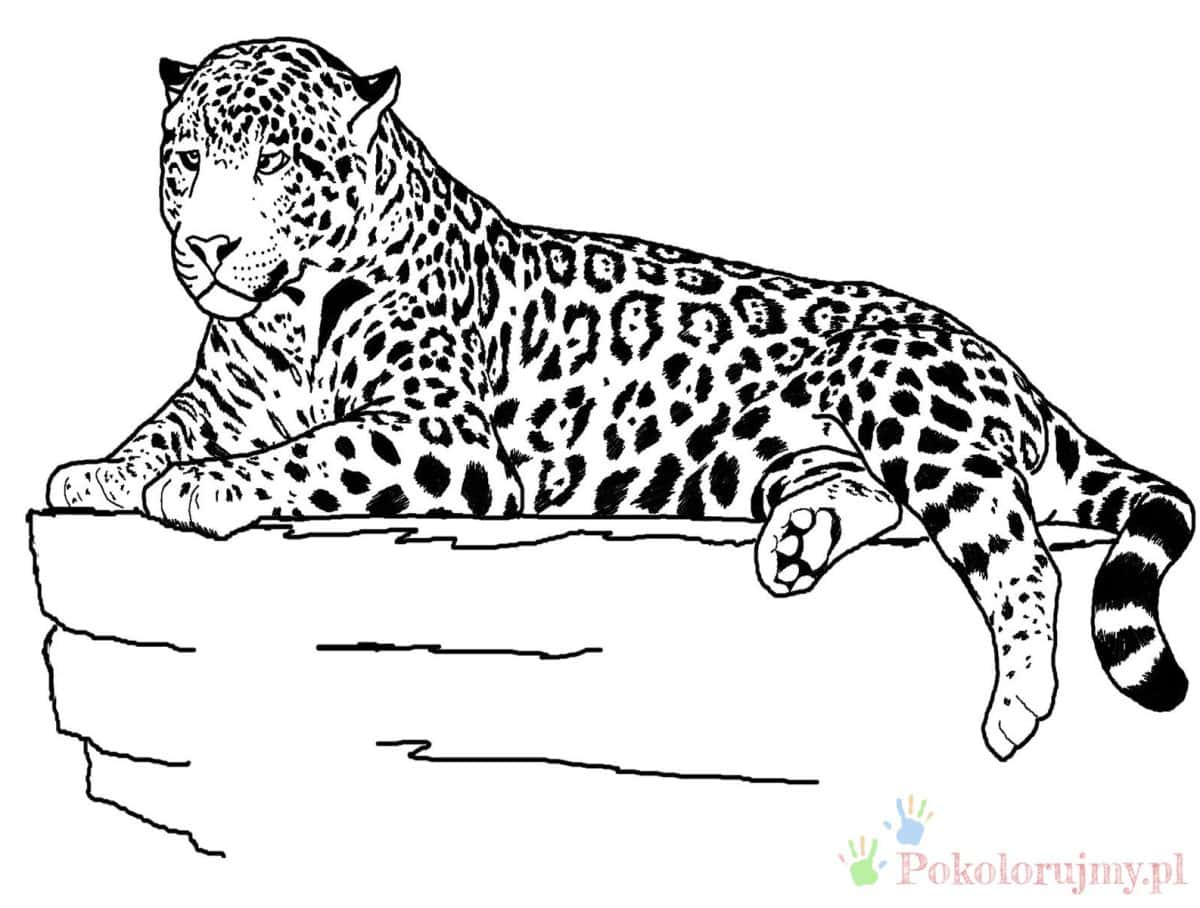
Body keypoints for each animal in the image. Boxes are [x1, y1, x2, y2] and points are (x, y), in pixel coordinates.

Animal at [47, 37, 1193, 761]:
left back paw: (1018, 701)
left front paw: (206, 487)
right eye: (187, 161)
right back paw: (797, 541)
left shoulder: (444, 436)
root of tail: (1012, 368)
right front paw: (96, 471)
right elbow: (161, 427)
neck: (287, 321)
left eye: (278, 164)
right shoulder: (223, 393)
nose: (207, 243)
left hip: (903, 396)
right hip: (788, 450)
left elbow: (312, 454)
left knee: (1018, 550)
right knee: (876, 495)